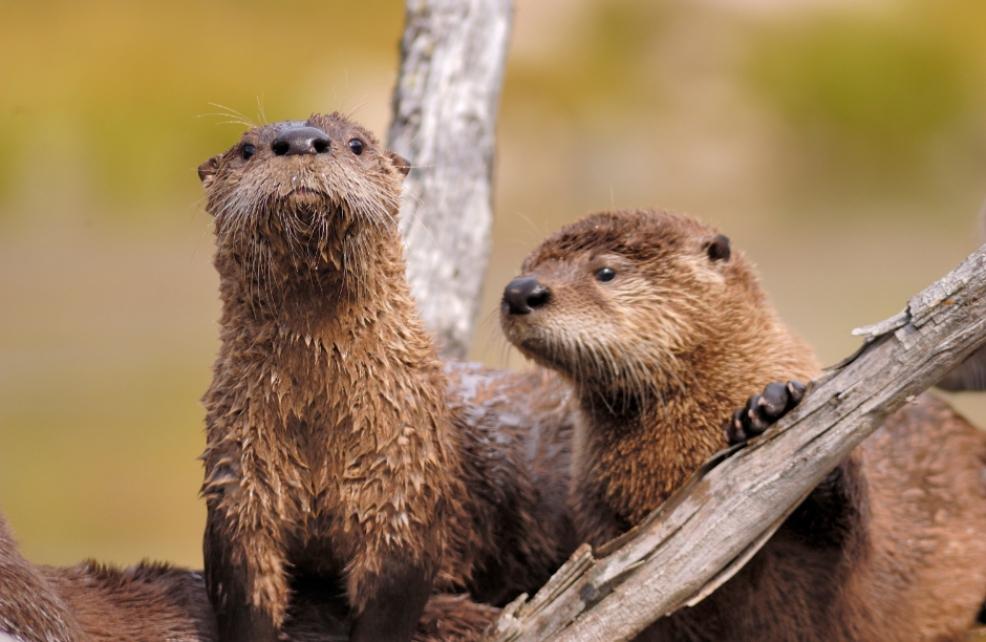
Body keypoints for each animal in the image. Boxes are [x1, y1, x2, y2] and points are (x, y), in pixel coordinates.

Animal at [197, 112, 575, 641]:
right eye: (247, 149)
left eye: (356, 144)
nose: (299, 140)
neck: (321, 429)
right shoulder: (238, 482)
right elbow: (245, 593)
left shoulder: (405, 485)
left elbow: (391, 599)